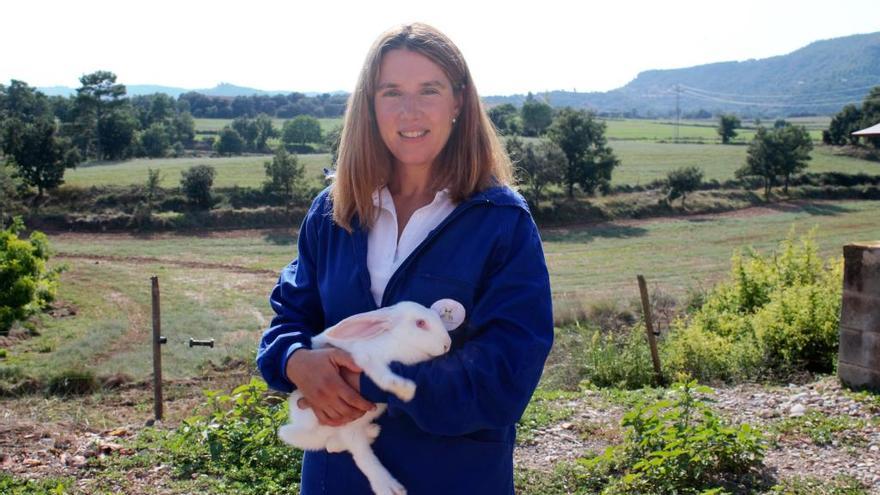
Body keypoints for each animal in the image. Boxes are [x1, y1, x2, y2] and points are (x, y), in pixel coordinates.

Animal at [280, 298, 460, 495]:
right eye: (420, 323)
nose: (447, 344)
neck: (396, 342)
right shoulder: (364, 358)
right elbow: (381, 375)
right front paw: (404, 389)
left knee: (333, 445)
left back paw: (372, 431)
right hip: (347, 428)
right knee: (359, 455)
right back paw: (389, 487)